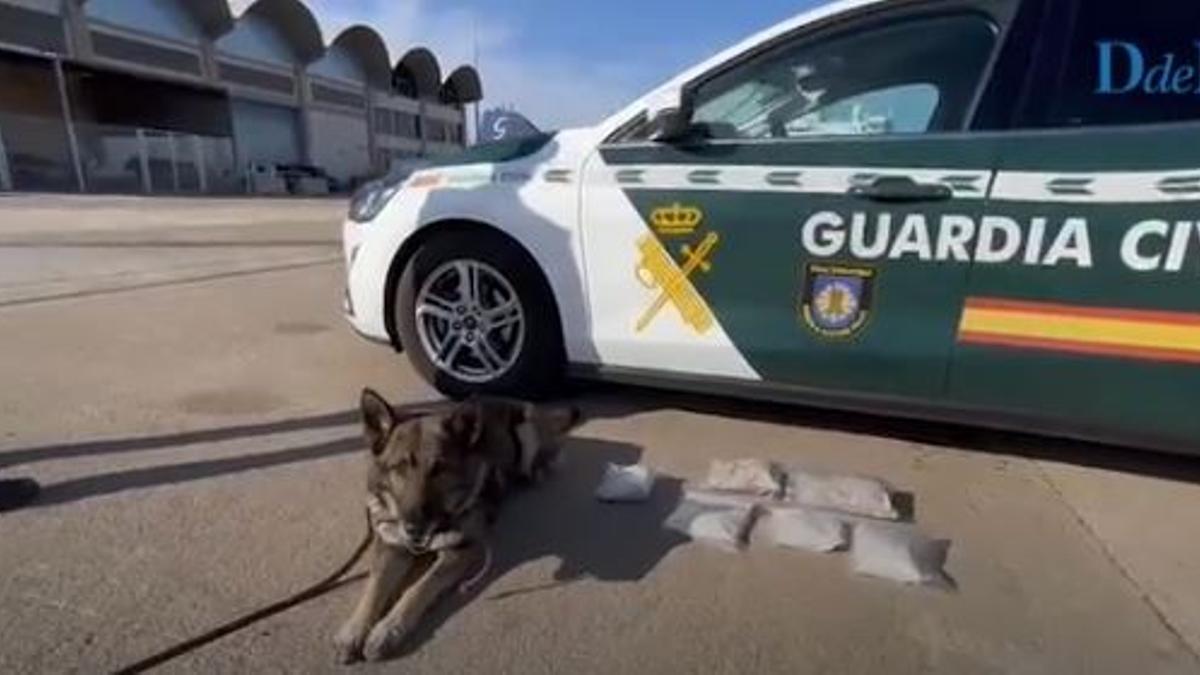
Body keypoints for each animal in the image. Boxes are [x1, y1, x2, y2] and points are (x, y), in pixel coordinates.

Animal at [336, 386, 583, 658]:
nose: (414, 528)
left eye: (439, 469)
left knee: (540, 461)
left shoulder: (458, 552)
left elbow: (418, 588)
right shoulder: (391, 546)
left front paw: (388, 629)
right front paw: (354, 629)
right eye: (400, 467)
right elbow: (374, 587)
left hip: (526, 433)